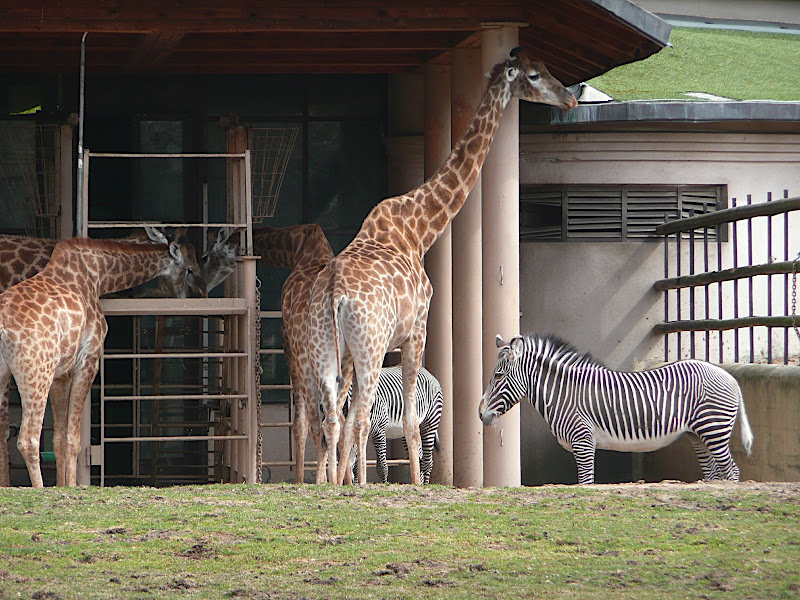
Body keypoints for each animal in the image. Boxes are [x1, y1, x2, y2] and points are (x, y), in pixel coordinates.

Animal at [0, 229, 212, 486]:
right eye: (190, 268)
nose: (199, 296)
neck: (98, 275)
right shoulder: (88, 359)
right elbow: (74, 440)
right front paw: (72, 487)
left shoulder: (61, 374)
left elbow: (59, 439)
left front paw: (63, 485)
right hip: (37, 372)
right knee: (27, 439)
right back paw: (39, 490)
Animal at [306, 48, 577, 485]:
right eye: (534, 75)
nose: (570, 99)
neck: (419, 230)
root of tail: (334, 294)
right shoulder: (417, 330)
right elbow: (411, 425)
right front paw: (416, 485)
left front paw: (341, 483)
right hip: (369, 348)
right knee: (359, 419)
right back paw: (356, 486)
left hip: (326, 351)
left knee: (332, 418)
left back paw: (325, 486)